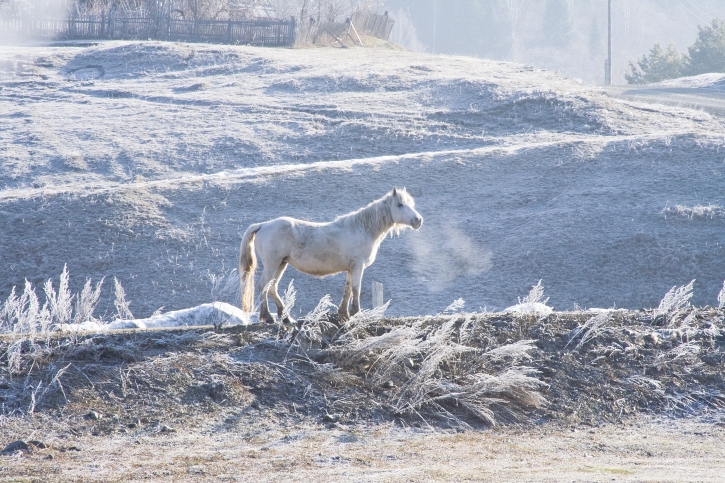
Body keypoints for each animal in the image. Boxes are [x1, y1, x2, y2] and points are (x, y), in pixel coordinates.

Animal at [240, 189, 422, 326]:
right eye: (399, 204)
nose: (418, 220)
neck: (363, 228)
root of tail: (263, 225)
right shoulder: (358, 266)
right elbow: (356, 289)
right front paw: (355, 313)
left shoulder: (351, 268)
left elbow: (347, 290)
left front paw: (343, 314)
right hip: (273, 264)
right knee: (264, 286)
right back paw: (268, 317)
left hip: (281, 264)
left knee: (272, 287)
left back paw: (286, 318)